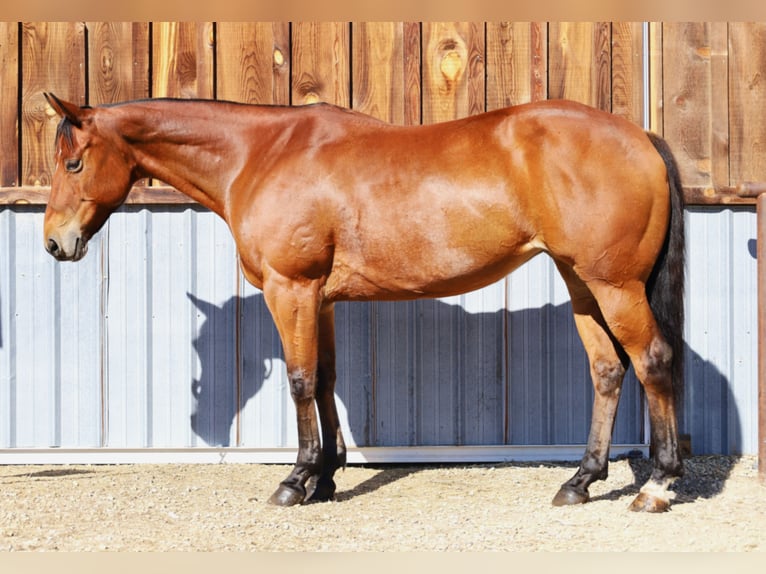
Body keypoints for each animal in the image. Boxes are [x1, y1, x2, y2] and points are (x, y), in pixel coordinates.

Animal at [42, 92, 685, 512]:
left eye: (74, 162)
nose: (54, 243)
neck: (260, 155)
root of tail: (640, 136)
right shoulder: (321, 301)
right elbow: (325, 379)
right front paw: (326, 478)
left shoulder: (291, 289)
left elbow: (300, 380)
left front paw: (295, 481)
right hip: (582, 284)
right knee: (607, 370)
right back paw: (581, 481)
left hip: (615, 286)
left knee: (653, 362)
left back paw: (656, 485)